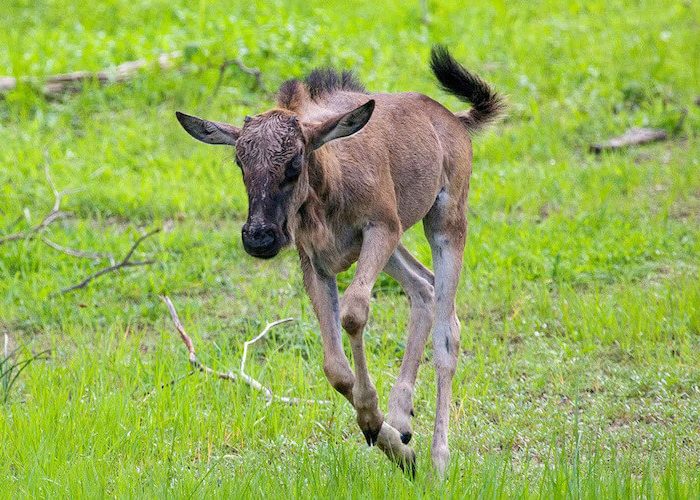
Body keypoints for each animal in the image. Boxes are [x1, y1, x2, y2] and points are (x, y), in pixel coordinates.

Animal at [176, 46, 503, 475]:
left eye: (295, 162)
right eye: (240, 163)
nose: (260, 237)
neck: (328, 187)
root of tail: (455, 121)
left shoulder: (379, 228)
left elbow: (354, 312)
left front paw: (375, 422)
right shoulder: (316, 261)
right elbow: (335, 368)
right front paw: (389, 440)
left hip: (444, 222)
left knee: (448, 332)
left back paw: (438, 460)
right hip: (396, 247)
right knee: (423, 287)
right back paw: (401, 421)